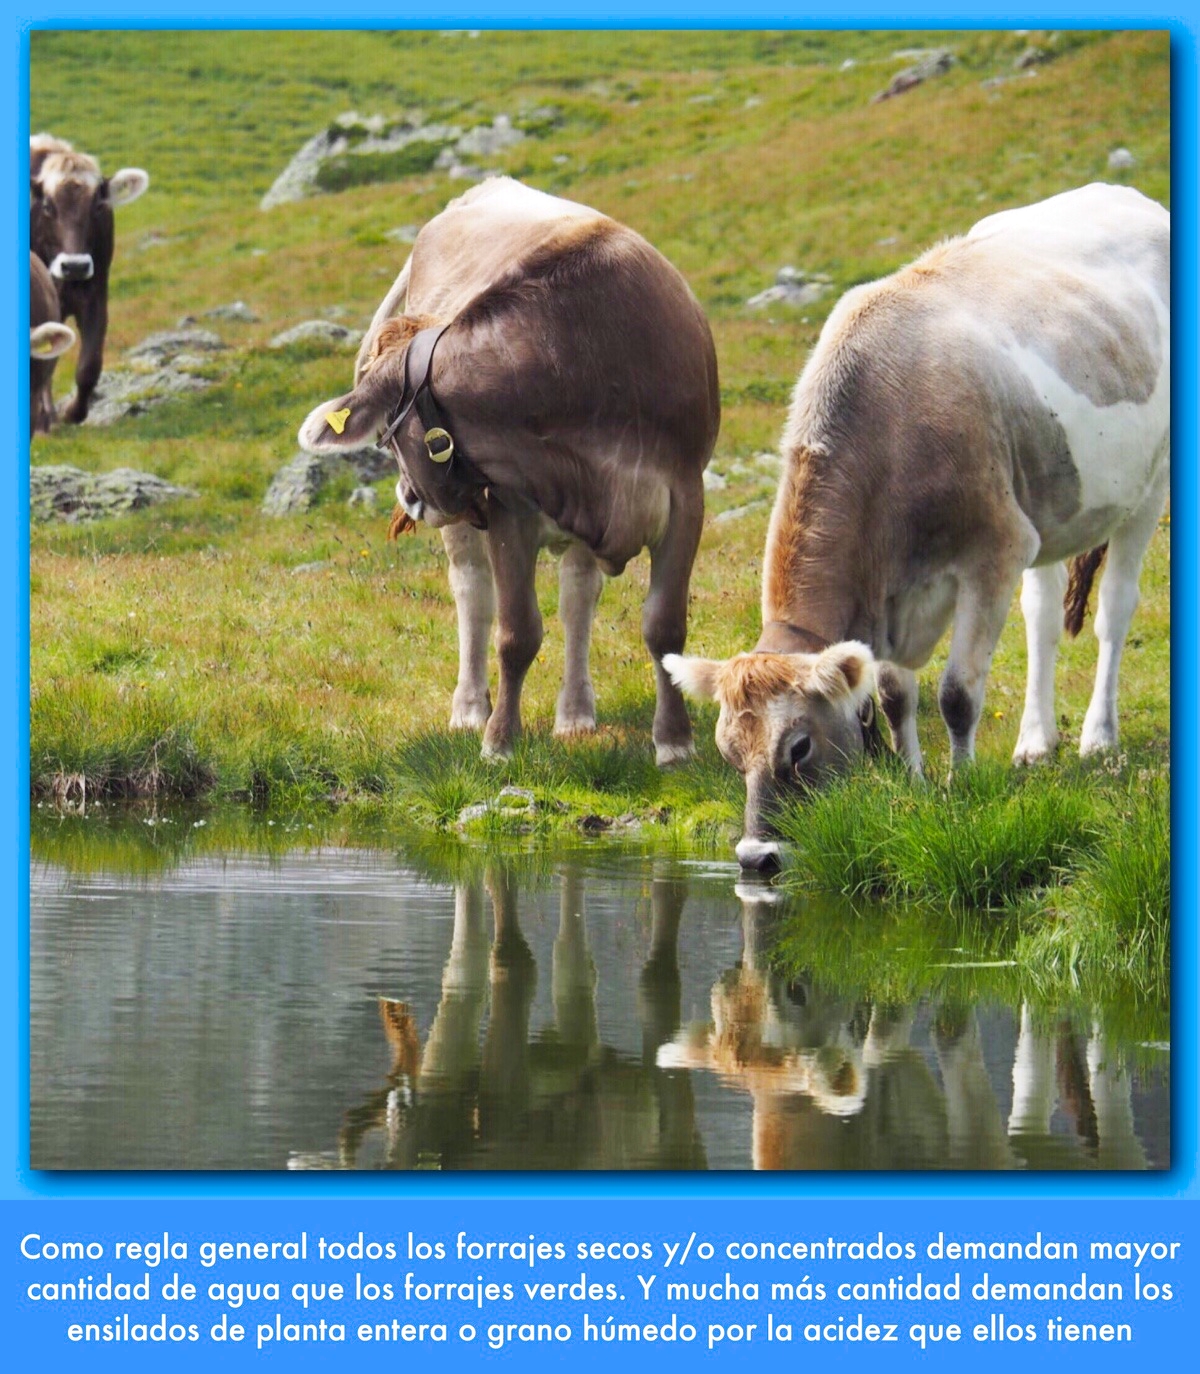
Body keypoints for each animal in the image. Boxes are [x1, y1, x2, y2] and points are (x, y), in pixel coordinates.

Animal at [299, 174, 714, 763]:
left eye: (388, 436)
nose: (408, 498)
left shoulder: (685, 497)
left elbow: (664, 627)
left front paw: (675, 743)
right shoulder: (508, 507)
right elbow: (516, 633)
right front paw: (499, 741)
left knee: (577, 597)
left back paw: (575, 713)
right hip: (470, 532)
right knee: (473, 595)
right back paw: (472, 707)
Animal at [659, 184, 1165, 868]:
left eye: (799, 748)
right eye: (729, 754)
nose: (755, 857)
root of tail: (1120, 194)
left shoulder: (994, 551)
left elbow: (956, 694)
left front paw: (961, 786)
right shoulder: (901, 591)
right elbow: (897, 694)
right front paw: (914, 781)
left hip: (1150, 486)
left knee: (1115, 608)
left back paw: (1097, 737)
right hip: (1048, 510)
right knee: (1042, 617)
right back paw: (1036, 742)